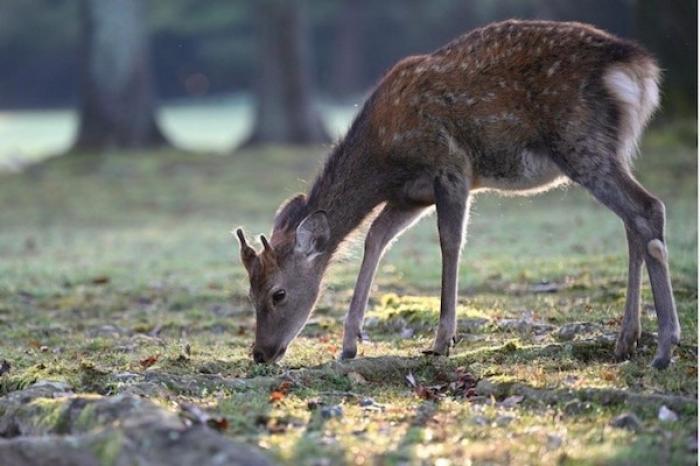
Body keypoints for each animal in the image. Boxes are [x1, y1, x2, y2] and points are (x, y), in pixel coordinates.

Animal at [235, 20, 680, 370]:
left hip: (581, 142)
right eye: (249, 291)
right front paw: (349, 344)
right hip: (614, 149)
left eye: (278, 293)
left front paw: (442, 340)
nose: (260, 353)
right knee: (632, 223)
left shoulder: (450, 166)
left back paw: (664, 346)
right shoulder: (410, 195)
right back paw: (627, 340)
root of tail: (638, 68)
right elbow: (375, 238)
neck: (384, 157)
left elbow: (449, 242)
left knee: (647, 208)